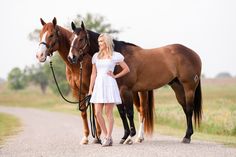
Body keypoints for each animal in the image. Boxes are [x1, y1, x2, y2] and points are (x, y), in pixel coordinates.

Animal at [67, 21, 202, 144]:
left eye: (81, 39)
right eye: (71, 39)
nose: (71, 57)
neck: (119, 57)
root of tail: (194, 54)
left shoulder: (125, 90)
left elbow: (129, 113)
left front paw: (130, 136)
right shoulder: (118, 91)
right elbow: (122, 113)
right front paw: (124, 136)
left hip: (189, 88)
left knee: (189, 109)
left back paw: (187, 137)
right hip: (177, 87)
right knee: (185, 109)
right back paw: (186, 135)